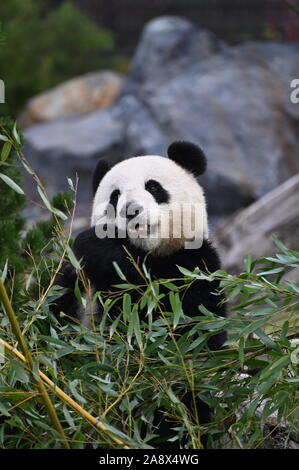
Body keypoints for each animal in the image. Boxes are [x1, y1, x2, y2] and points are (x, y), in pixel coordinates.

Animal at [53, 140, 227, 448]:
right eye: (115, 196)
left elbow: (186, 331)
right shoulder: (76, 282)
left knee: (172, 411)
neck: (146, 252)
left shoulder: (194, 269)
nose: (131, 211)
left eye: (153, 187)